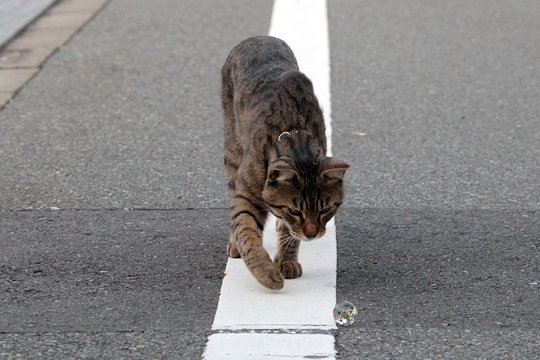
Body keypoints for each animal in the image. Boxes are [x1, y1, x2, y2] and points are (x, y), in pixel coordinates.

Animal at [221, 36, 348, 290]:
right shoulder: (246, 197)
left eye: (325, 209)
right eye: (295, 210)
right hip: (233, 154)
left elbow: (286, 230)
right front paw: (266, 272)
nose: (311, 234)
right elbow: (246, 231)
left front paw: (286, 261)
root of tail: (258, 37)